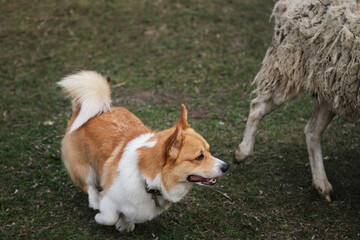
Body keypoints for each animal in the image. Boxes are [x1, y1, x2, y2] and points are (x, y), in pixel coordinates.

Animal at [58, 70, 229, 232]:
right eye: (199, 157)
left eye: (209, 151)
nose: (226, 167)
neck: (147, 180)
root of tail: (88, 108)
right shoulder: (111, 198)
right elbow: (110, 217)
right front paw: (100, 216)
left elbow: (128, 215)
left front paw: (125, 224)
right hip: (83, 167)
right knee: (89, 185)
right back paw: (95, 201)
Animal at [233, 0, 360, 202]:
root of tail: (285, 5)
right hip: (291, 68)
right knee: (257, 106)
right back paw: (242, 153)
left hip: (333, 83)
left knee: (312, 130)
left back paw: (322, 186)